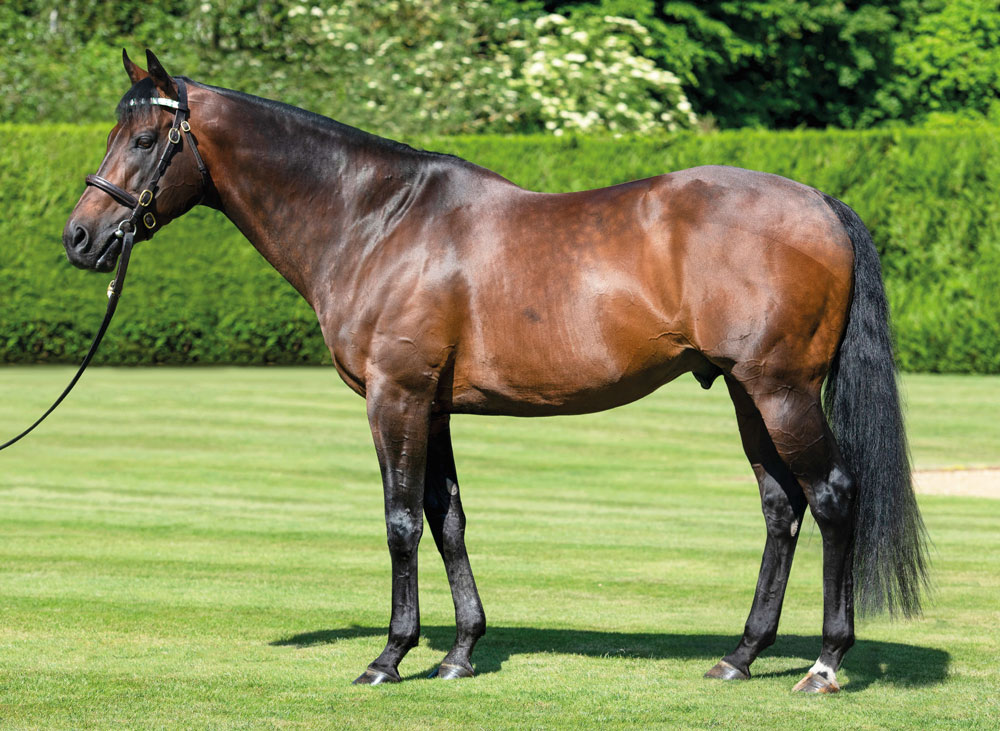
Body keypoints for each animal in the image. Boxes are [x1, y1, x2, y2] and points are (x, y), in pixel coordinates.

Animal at [62, 50, 928, 693]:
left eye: (147, 139)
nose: (81, 237)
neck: (376, 219)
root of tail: (819, 202)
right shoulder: (434, 404)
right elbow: (447, 518)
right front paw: (459, 652)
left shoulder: (395, 397)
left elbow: (401, 521)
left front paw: (390, 656)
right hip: (749, 393)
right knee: (782, 507)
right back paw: (741, 654)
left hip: (782, 391)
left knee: (832, 496)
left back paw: (824, 662)